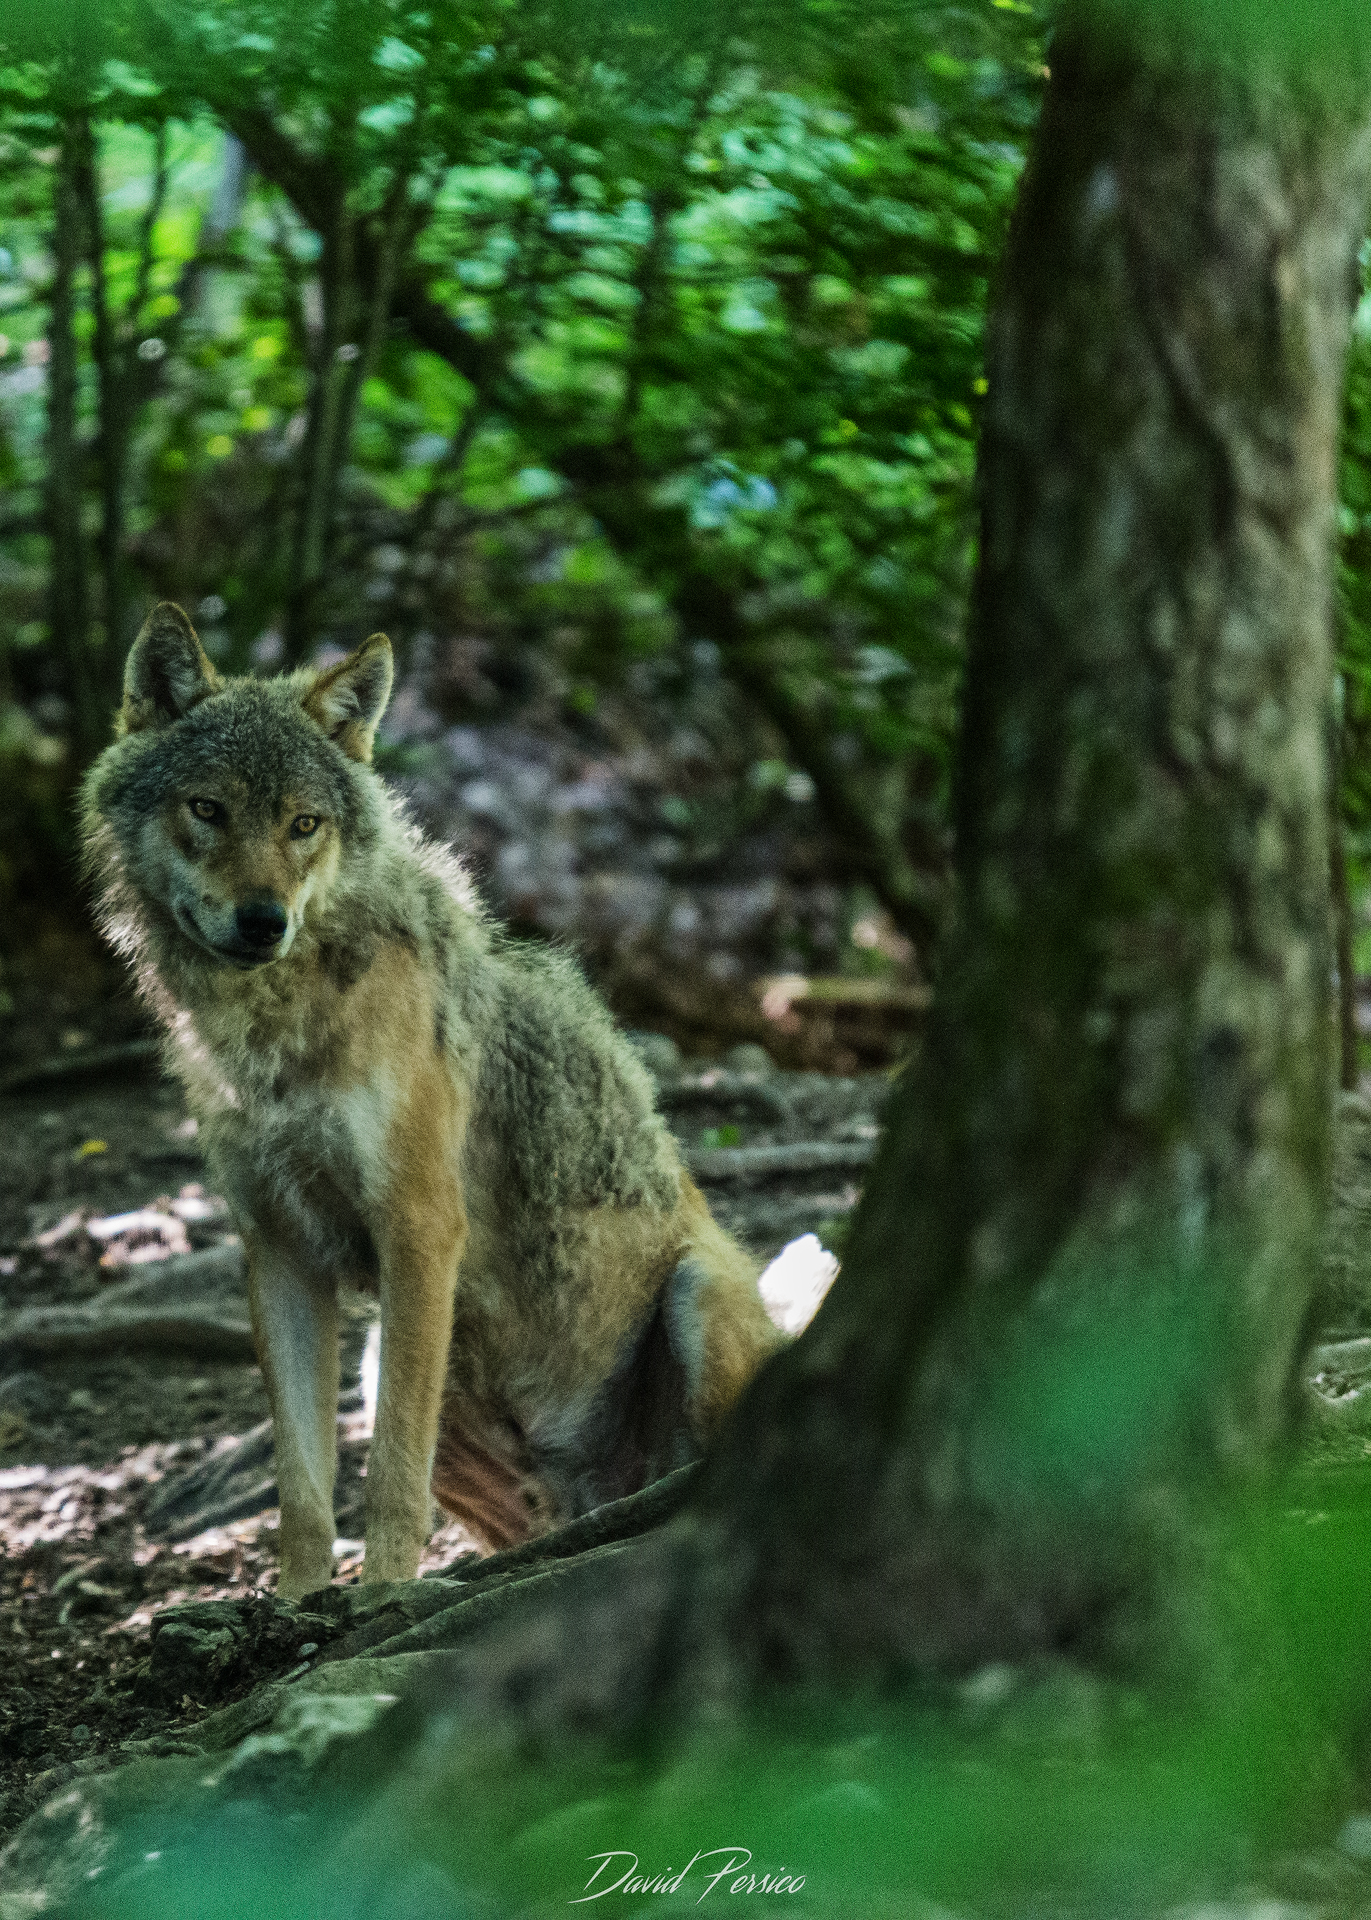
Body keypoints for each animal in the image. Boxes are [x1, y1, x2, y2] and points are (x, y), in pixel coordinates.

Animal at [82, 604, 784, 1598]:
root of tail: (594, 1485)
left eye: (303, 824)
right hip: (396, 1366)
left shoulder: (418, 1229)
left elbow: (388, 1471)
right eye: (207, 809)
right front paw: (296, 1604)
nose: (262, 921)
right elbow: (303, 1484)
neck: (273, 1037)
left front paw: (379, 1596)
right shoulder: (279, 1248)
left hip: (693, 1290)